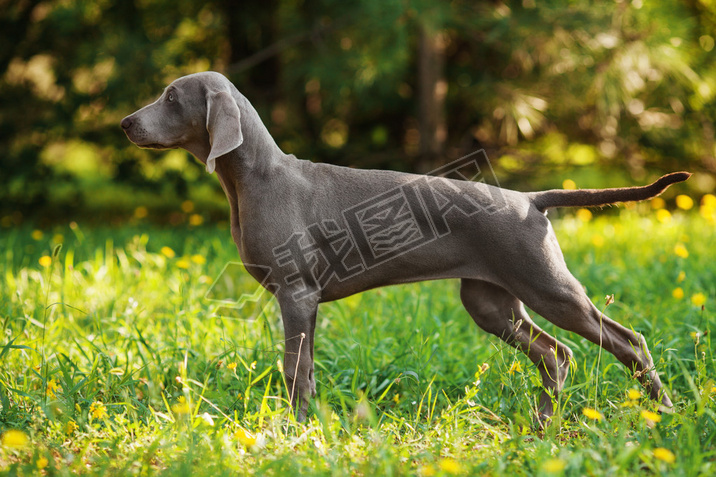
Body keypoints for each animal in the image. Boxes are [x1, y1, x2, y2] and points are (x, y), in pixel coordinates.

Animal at [121, 69, 688, 420]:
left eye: (171, 97)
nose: (125, 122)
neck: (253, 179)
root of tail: (530, 199)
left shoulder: (296, 293)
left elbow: (294, 371)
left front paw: (294, 430)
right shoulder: (304, 300)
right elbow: (304, 370)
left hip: (547, 286)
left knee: (627, 341)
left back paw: (663, 411)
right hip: (490, 301)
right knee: (555, 353)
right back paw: (543, 423)